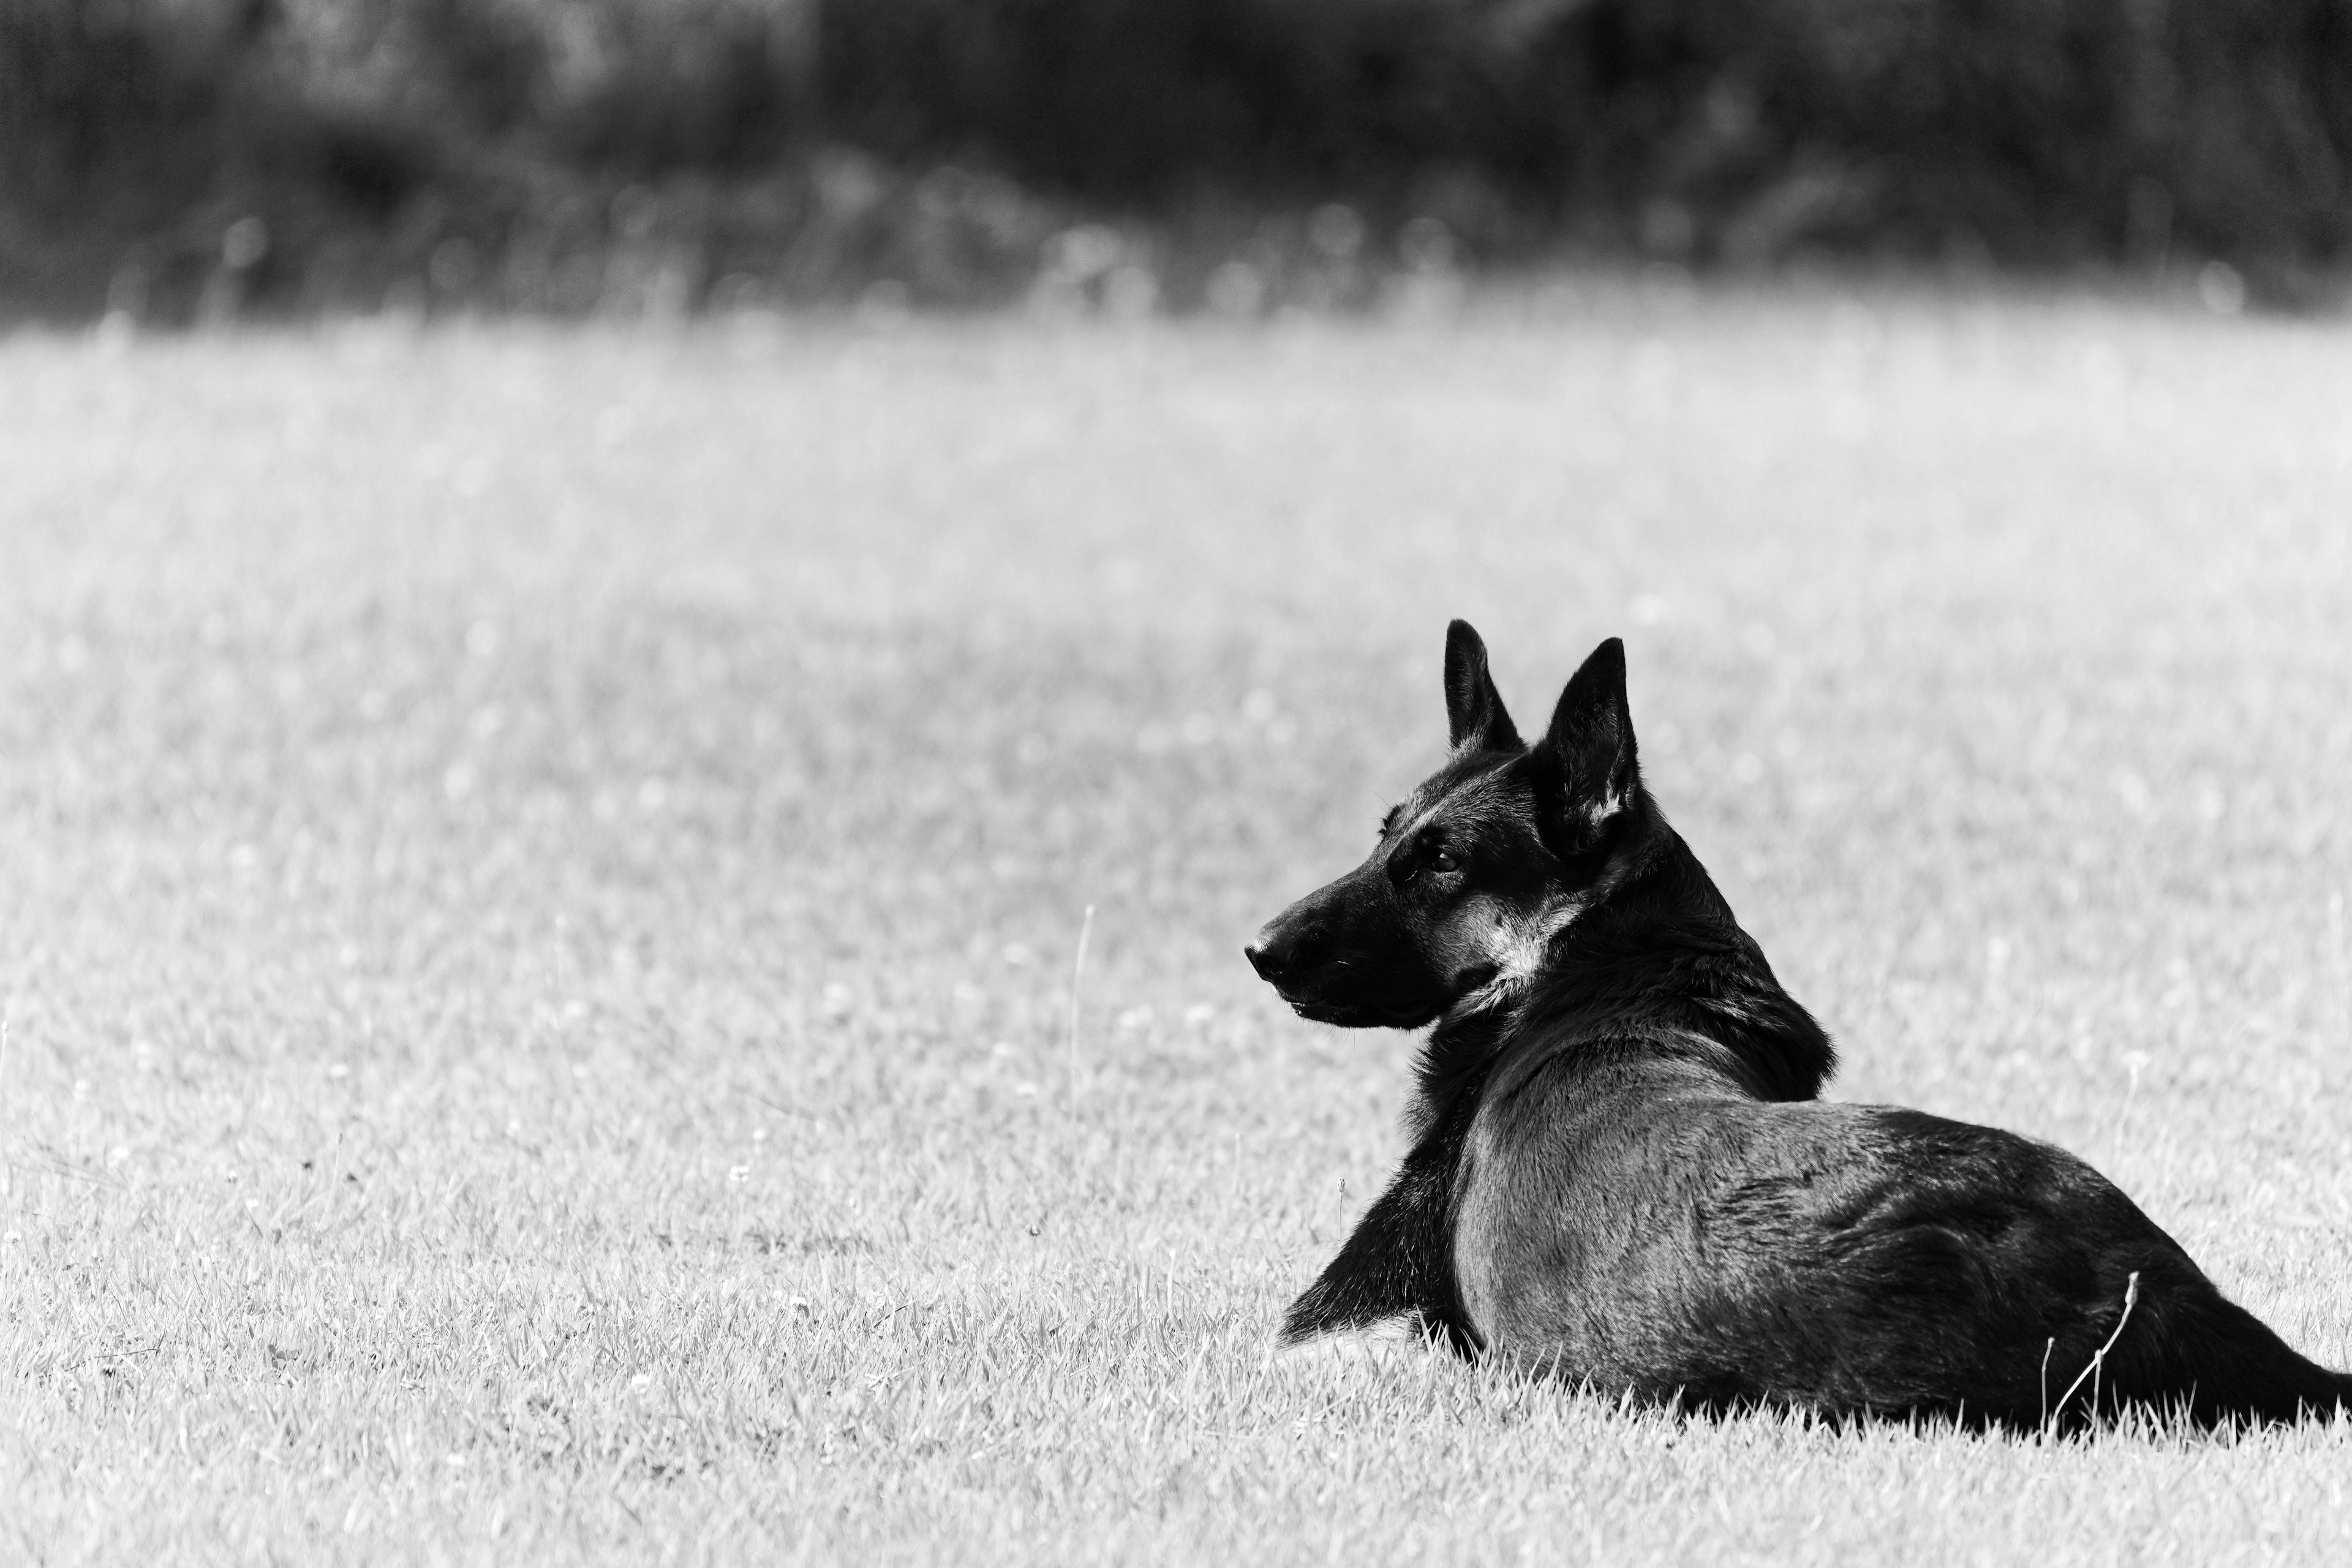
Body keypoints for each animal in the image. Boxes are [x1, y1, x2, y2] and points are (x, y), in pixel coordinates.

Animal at [1242, 625, 2342, 1438]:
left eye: (1439, 863)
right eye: (1385, 835)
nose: (1257, 948)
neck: (1613, 963)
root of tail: (2139, 1280)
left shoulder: (1340, 1325)